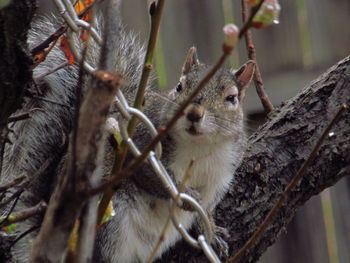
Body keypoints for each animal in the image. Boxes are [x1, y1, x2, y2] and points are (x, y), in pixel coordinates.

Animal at [0, 1, 254, 262]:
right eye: (179, 87)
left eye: (231, 98)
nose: (193, 113)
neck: (200, 146)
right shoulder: (142, 144)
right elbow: (153, 178)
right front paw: (186, 196)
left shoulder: (222, 174)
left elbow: (208, 209)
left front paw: (211, 232)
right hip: (111, 220)